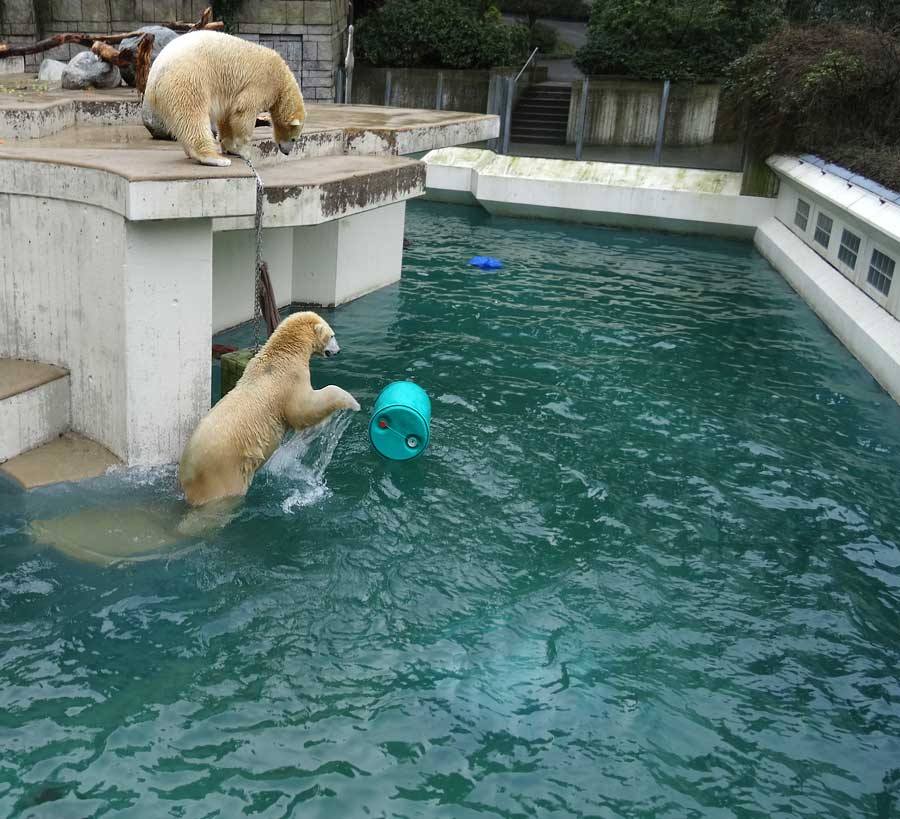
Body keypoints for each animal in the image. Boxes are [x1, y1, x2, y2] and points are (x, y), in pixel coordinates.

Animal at [145, 31, 306, 166]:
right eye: (294, 138)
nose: (287, 152)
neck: (282, 78)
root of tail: (154, 75)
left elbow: (227, 117)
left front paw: (230, 147)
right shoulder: (262, 83)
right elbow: (244, 111)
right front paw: (244, 152)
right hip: (188, 80)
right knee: (193, 118)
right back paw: (215, 158)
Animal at [178, 312, 360, 506]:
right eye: (332, 336)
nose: (338, 350)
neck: (284, 354)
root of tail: (188, 471)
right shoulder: (290, 381)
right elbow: (302, 410)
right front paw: (351, 401)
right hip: (223, 471)